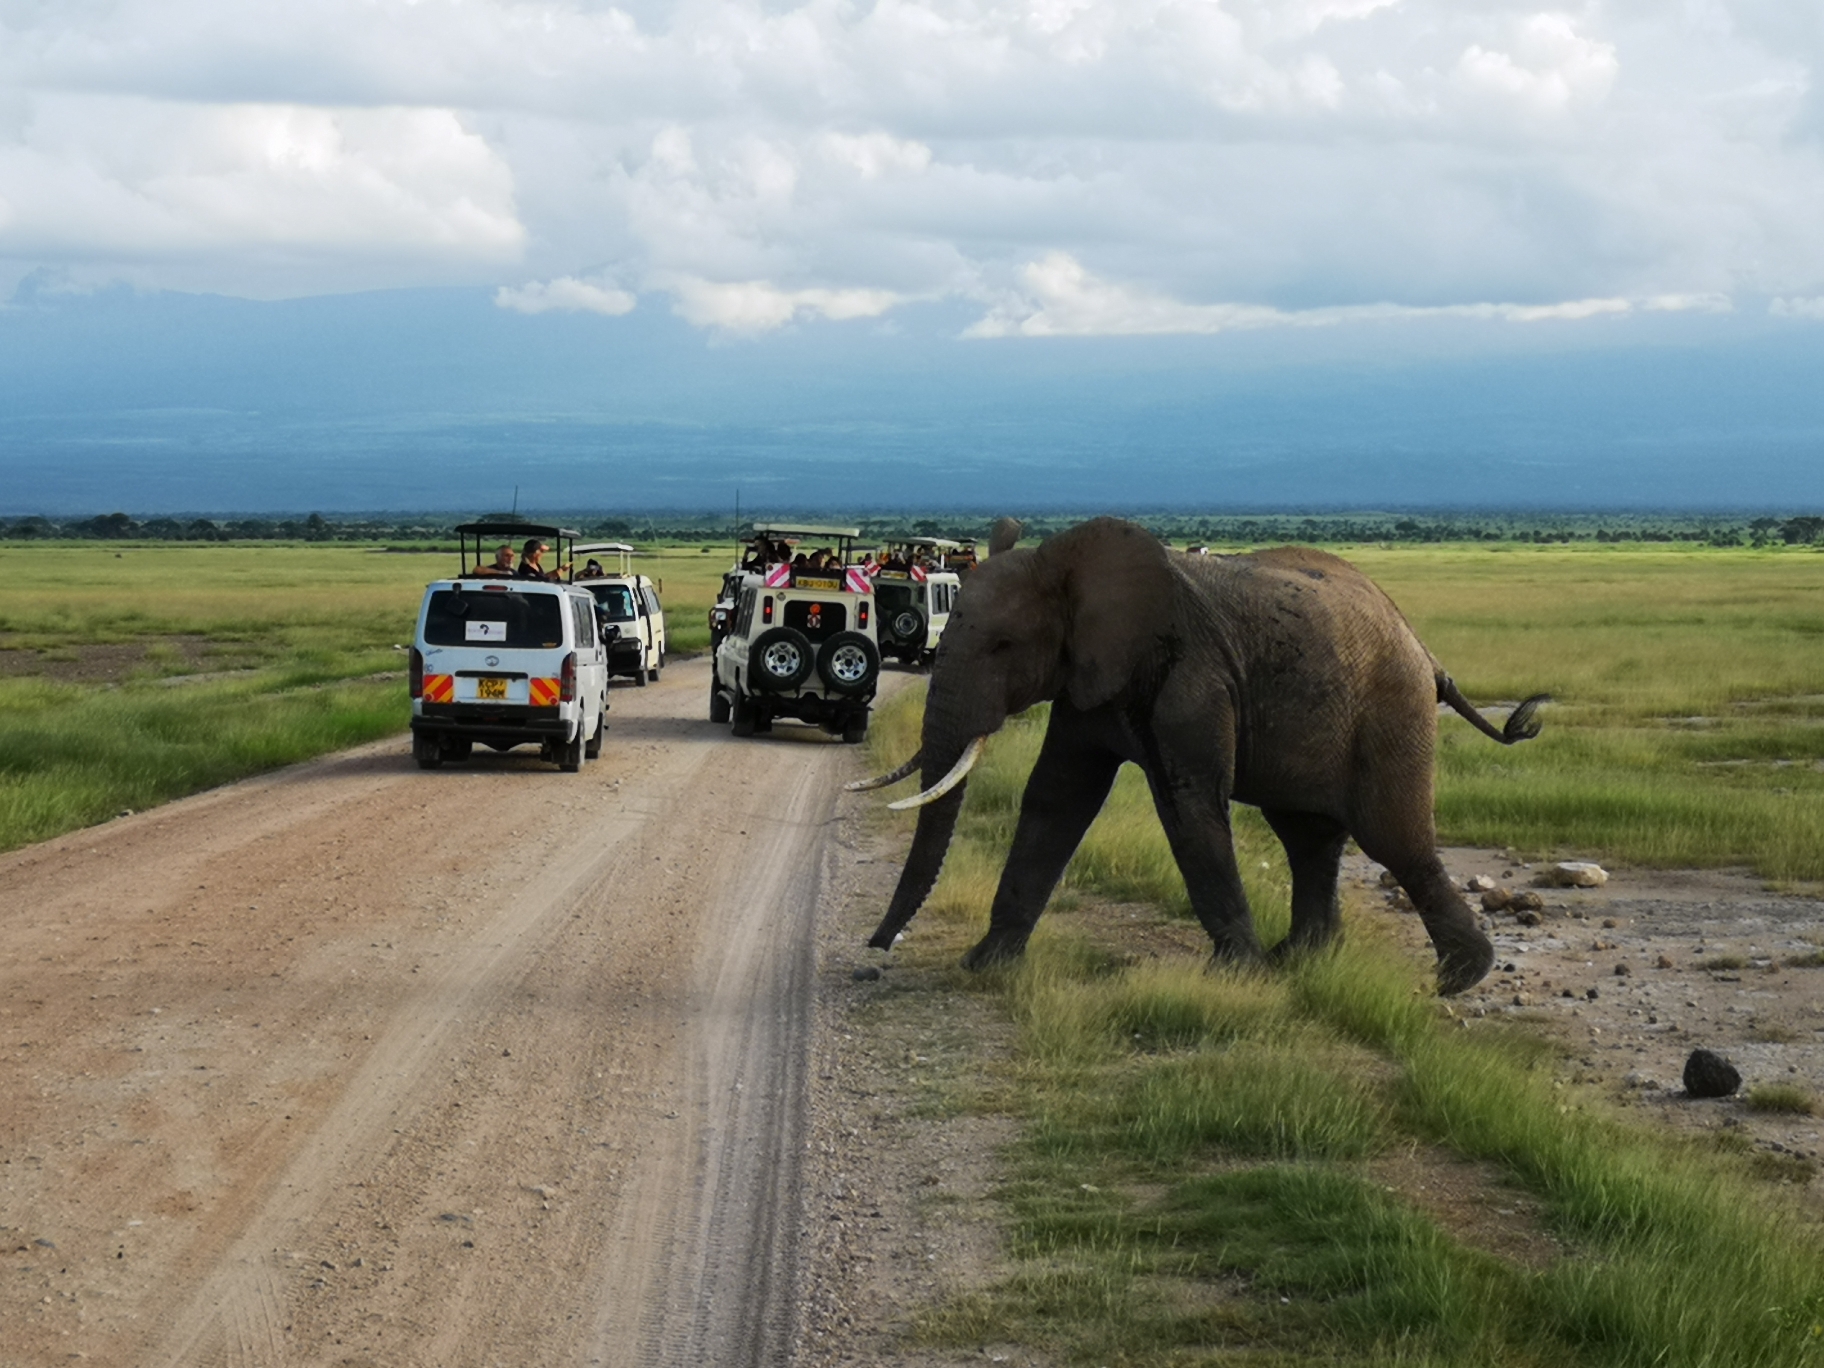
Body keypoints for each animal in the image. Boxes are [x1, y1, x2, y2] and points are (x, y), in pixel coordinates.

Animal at [846, 514, 1546, 999]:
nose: (875, 953)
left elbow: (1188, 807)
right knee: (1308, 839)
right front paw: (984, 964)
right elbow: (1056, 798)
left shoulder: (1193, 680)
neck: (1068, 563)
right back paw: (1302, 960)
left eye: (1003, 645)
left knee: (1394, 839)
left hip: (1391, 710)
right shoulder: (1088, 681)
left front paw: (1238, 977)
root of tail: (1424, 649)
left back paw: (1456, 979)